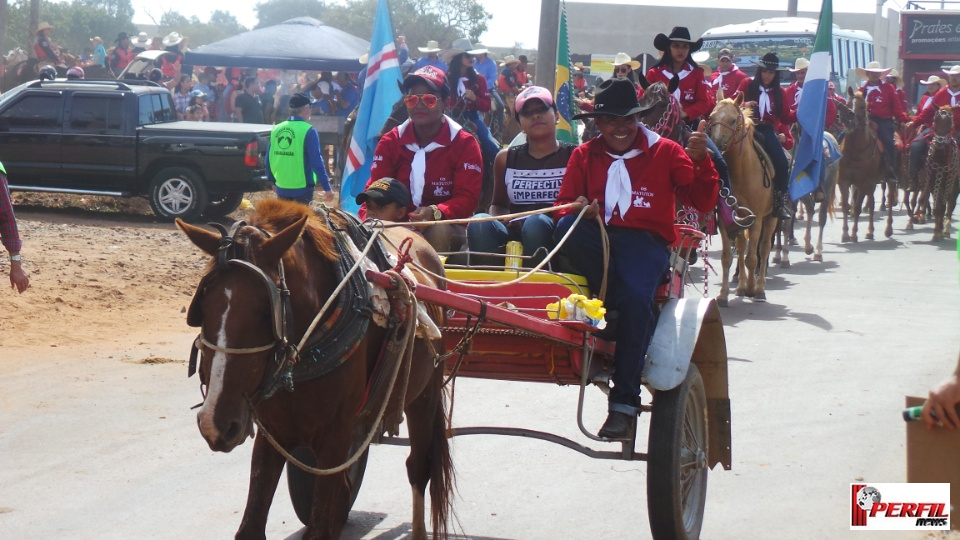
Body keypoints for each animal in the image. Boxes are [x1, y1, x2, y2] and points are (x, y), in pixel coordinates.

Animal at [177, 199, 454, 540]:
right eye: (203, 306)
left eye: (263, 312)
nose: (214, 423)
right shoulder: (273, 434)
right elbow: (252, 525)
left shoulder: (335, 437)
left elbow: (320, 526)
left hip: (424, 394)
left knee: (418, 466)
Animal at [704, 91, 780, 306]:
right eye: (711, 117)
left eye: (732, 119)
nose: (715, 146)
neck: (742, 172)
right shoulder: (726, 220)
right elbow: (727, 257)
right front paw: (723, 295)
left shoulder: (756, 220)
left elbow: (752, 258)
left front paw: (753, 289)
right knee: (741, 247)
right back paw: (740, 286)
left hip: (771, 217)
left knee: (763, 248)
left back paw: (759, 288)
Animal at [836, 93, 896, 243]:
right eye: (848, 103)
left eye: (862, 107)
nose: (848, 119)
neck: (855, 151)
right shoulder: (844, 181)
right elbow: (846, 206)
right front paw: (845, 234)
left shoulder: (863, 183)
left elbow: (857, 208)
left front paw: (853, 234)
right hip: (872, 183)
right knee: (872, 203)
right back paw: (870, 232)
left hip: (886, 179)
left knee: (890, 196)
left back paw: (888, 229)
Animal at [924, 106, 960, 240]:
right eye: (935, 120)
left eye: (949, 123)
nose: (939, 143)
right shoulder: (932, 182)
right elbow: (937, 207)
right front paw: (936, 231)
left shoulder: (952, 184)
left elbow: (945, 206)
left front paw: (941, 230)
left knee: (950, 204)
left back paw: (946, 229)